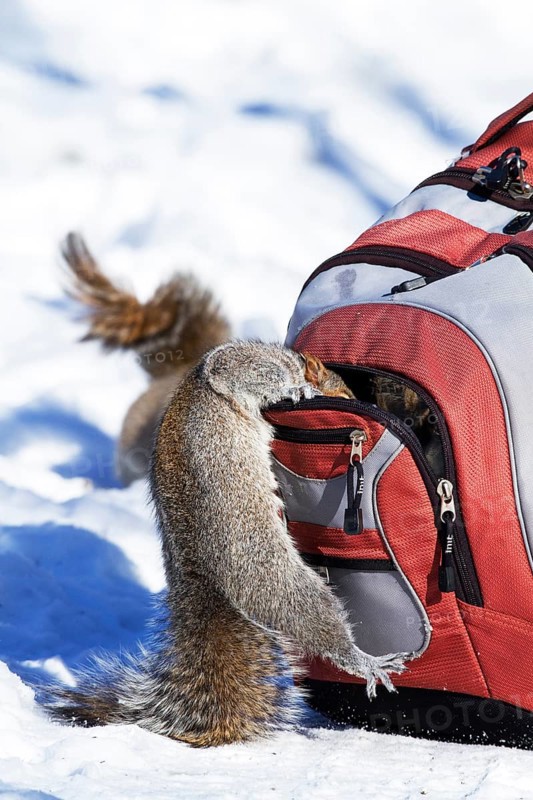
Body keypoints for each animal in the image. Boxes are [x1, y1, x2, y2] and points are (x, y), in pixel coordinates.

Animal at [46, 341, 405, 746]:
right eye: (343, 393)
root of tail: (207, 580)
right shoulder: (239, 363)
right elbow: (243, 371)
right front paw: (298, 389)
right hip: (264, 565)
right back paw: (358, 659)